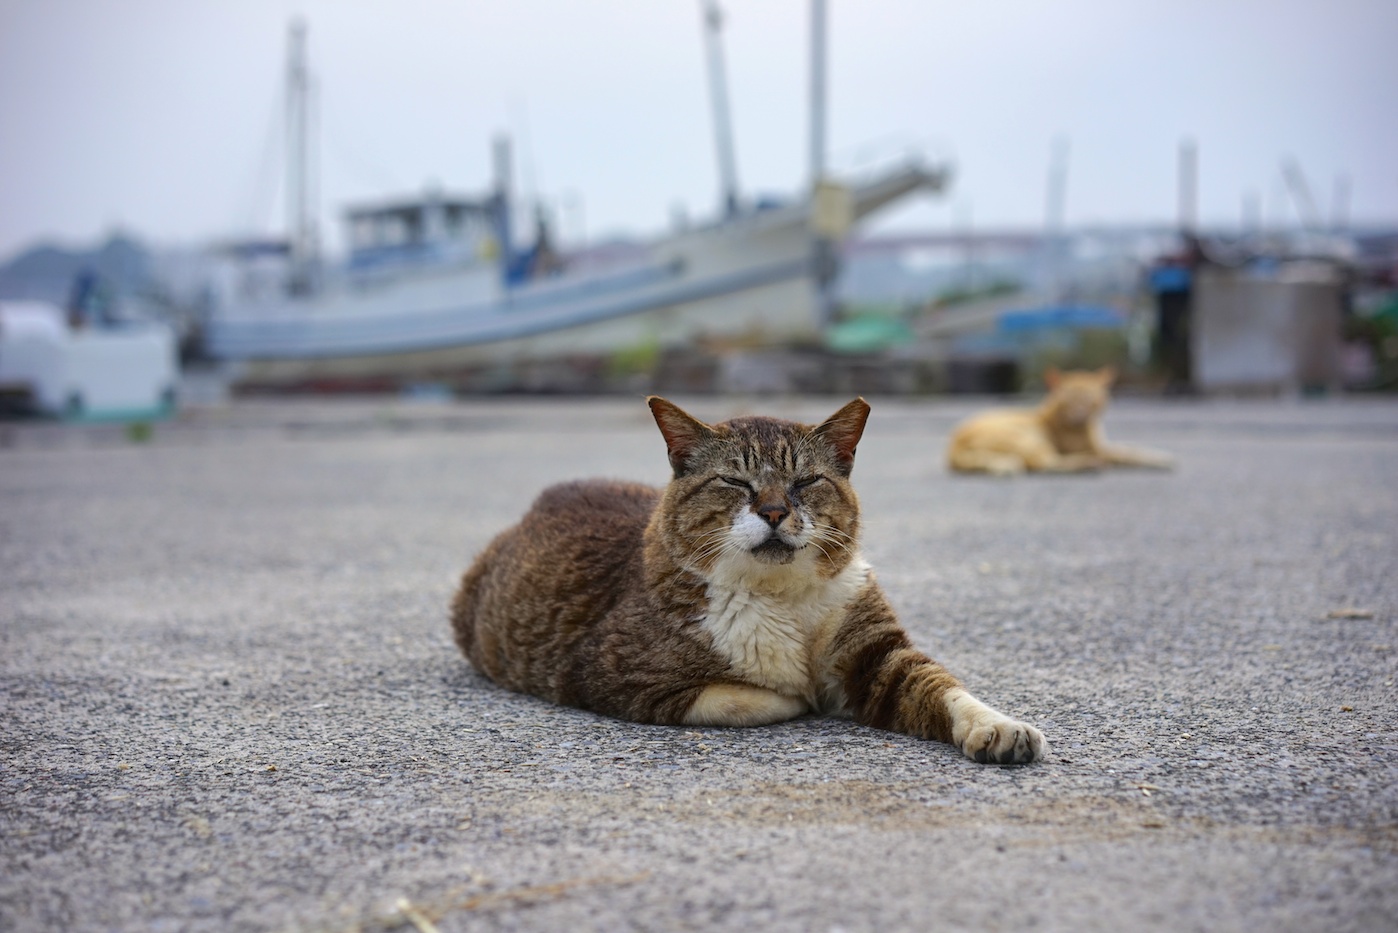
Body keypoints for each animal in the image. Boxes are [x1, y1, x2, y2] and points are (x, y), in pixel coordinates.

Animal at [450, 394, 1051, 766]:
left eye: (805, 481)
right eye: (736, 483)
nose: (774, 511)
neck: (780, 596)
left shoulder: (877, 655)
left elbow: (944, 687)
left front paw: (998, 726)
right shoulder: (609, 674)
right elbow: (751, 697)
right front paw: (797, 693)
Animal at [945, 366, 1174, 478]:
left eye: (1090, 399)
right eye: (1071, 399)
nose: (1080, 413)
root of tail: (954, 447)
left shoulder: (1102, 445)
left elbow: (1133, 448)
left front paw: (1160, 455)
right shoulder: (1100, 448)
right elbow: (1131, 454)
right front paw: (1161, 460)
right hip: (1028, 440)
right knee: (1043, 464)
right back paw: (1088, 465)